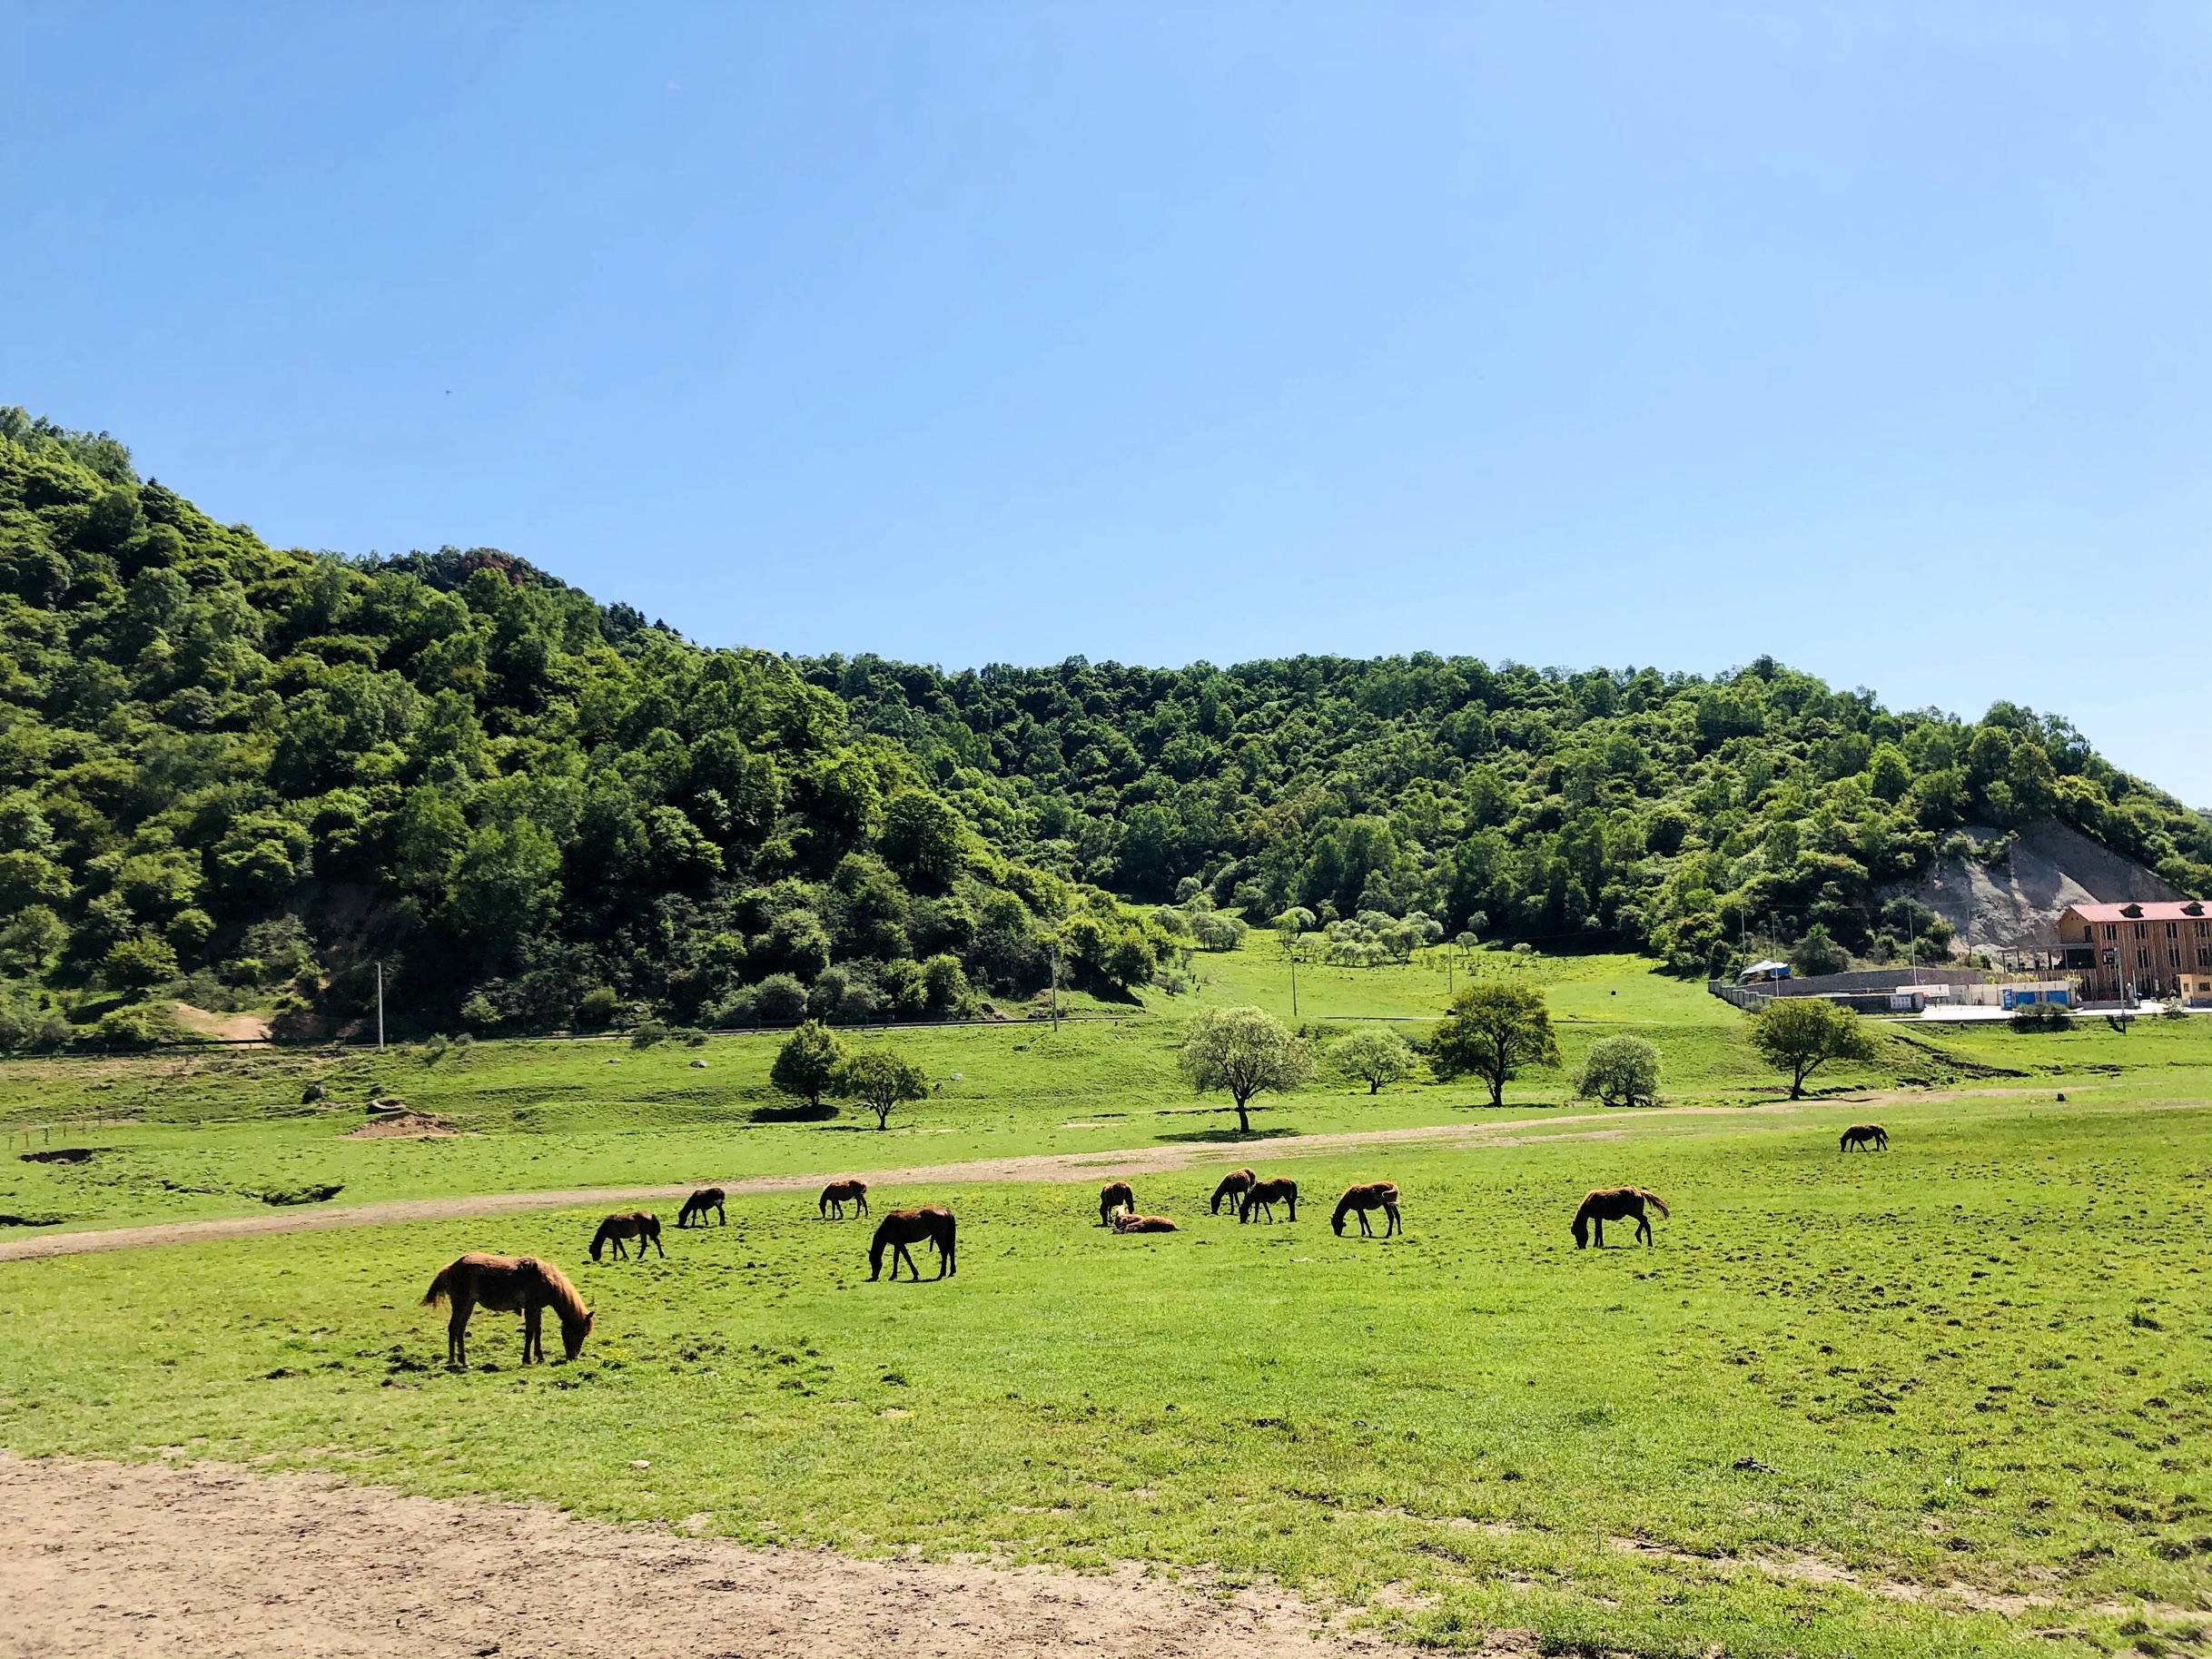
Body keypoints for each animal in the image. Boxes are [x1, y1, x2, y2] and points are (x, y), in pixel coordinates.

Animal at [418, 1256, 592, 1371]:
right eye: (580, 1332)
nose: (573, 1357)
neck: (547, 1280)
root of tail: (451, 1267)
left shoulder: (536, 1308)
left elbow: (537, 1331)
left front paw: (540, 1358)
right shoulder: (531, 1307)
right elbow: (530, 1332)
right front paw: (527, 1359)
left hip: (469, 1304)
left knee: (460, 1329)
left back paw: (463, 1361)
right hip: (461, 1303)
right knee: (453, 1328)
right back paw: (453, 1360)